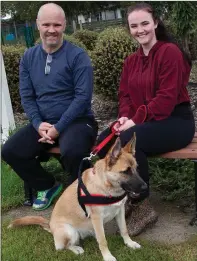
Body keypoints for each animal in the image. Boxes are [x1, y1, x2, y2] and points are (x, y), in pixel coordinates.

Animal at [8, 135, 147, 260]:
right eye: (125, 171)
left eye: (136, 168)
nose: (145, 187)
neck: (106, 186)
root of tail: (50, 225)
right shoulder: (97, 218)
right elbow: (102, 240)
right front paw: (108, 257)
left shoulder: (120, 211)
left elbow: (124, 230)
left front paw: (130, 243)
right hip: (70, 231)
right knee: (62, 247)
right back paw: (76, 249)